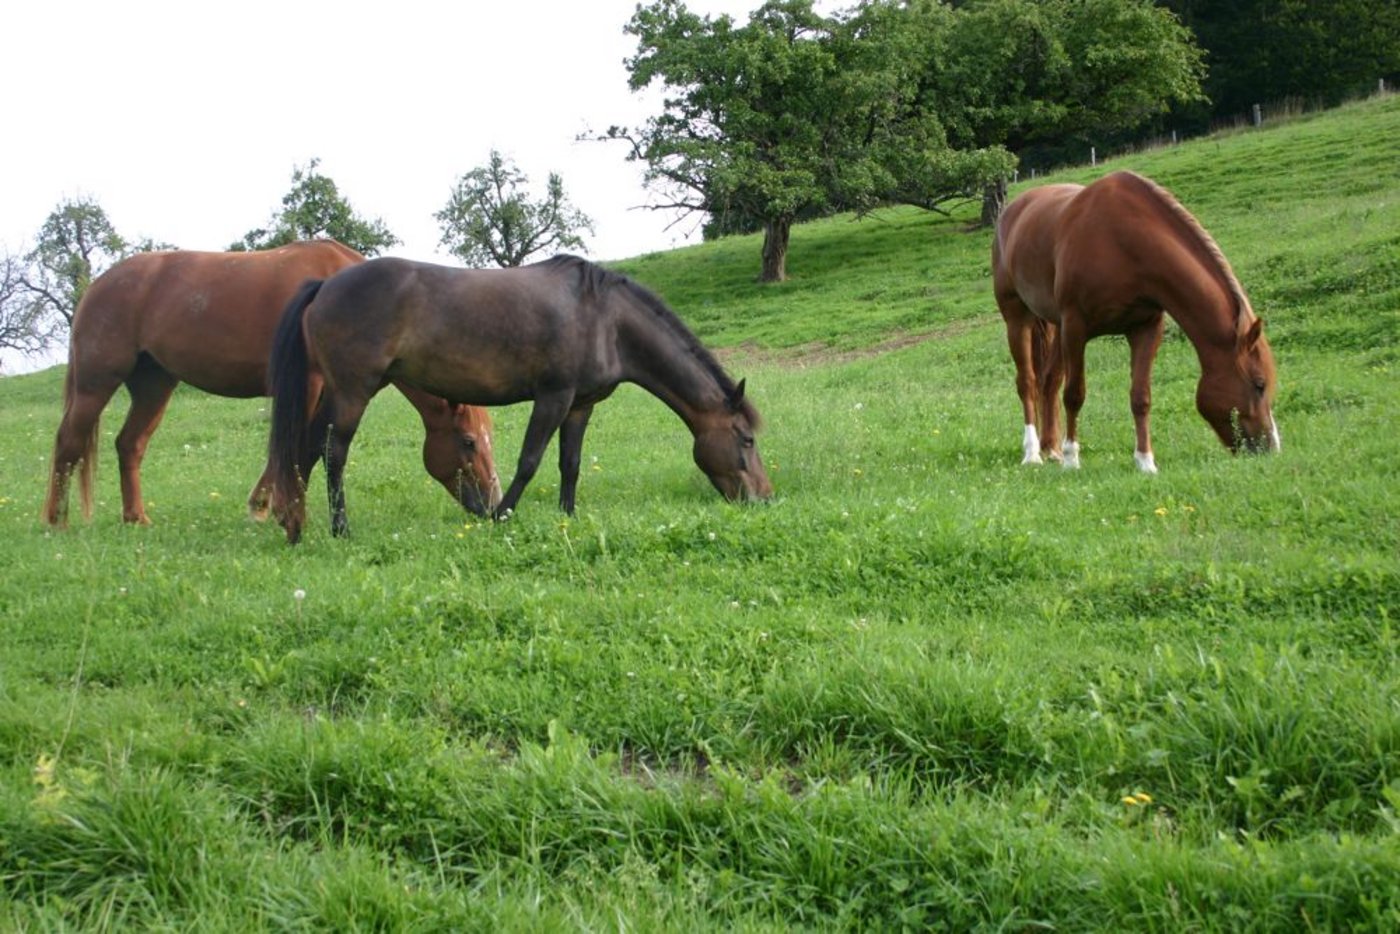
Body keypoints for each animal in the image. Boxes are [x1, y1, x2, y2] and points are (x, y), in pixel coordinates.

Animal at [42, 240, 501, 527]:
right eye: (468, 443)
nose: (493, 506)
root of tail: (98, 285)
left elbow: (306, 449)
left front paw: (270, 506)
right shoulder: (311, 384)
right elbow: (301, 446)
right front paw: (276, 508)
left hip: (154, 385)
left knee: (130, 445)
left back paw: (136, 517)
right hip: (97, 381)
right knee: (68, 443)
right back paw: (56, 522)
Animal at [267, 254, 772, 543]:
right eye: (746, 439)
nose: (764, 499)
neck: (606, 319)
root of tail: (324, 286)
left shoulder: (581, 404)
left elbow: (570, 463)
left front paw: (567, 516)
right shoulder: (553, 396)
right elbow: (530, 460)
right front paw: (500, 516)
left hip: (337, 391)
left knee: (306, 451)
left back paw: (295, 526)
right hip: (354, 391)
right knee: (333, 452)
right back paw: (339, 529)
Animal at [992, 170, 1279, 472]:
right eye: (1259, 384)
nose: (1271, 447)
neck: (1124, 242)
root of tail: (1012, 210)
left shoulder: (1146, 328)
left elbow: (1141, 396)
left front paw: (1145, 461)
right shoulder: (1075, 326)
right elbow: (1074, 394)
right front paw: (1072, 459)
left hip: (1055, 326)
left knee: (1049, 381)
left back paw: (1052, 449)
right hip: (1018, 318)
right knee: (1028, 382)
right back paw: (1033, 452)